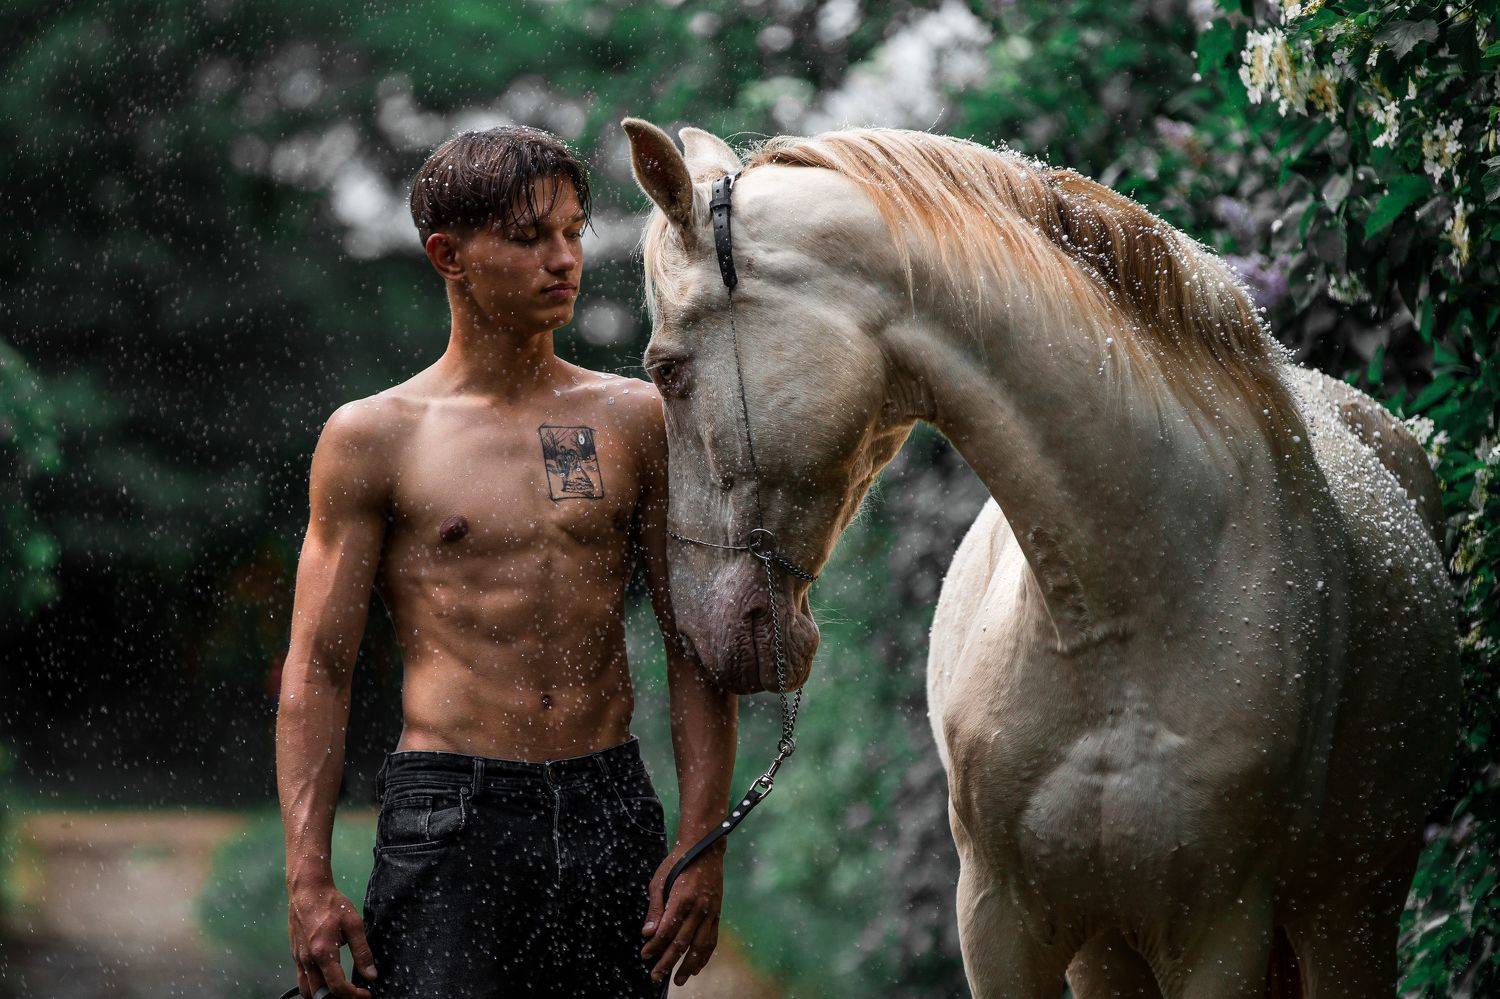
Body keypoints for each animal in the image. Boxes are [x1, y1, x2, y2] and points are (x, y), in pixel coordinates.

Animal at [621, 117, 1459, 998]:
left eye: (665, 368)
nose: (699, 627)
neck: (1125, 616)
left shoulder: (1221, 935)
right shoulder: (998, 923)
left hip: (1350, 920)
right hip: (1115, 952)